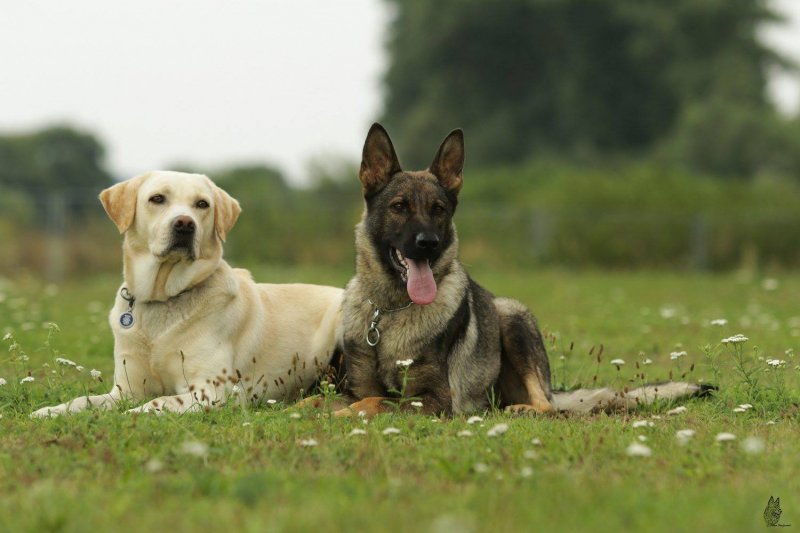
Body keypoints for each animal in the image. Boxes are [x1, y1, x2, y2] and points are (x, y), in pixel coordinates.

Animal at [332, 123, 712, 416]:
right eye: (399, 207)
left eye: (438, 209)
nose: (429, 243)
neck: (389, 311)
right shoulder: (356, 385)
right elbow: (339, 400)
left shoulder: (436, 400)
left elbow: (375, 402)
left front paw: (347, 414)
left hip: (512, 317)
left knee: (548, 407)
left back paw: (520, 410)